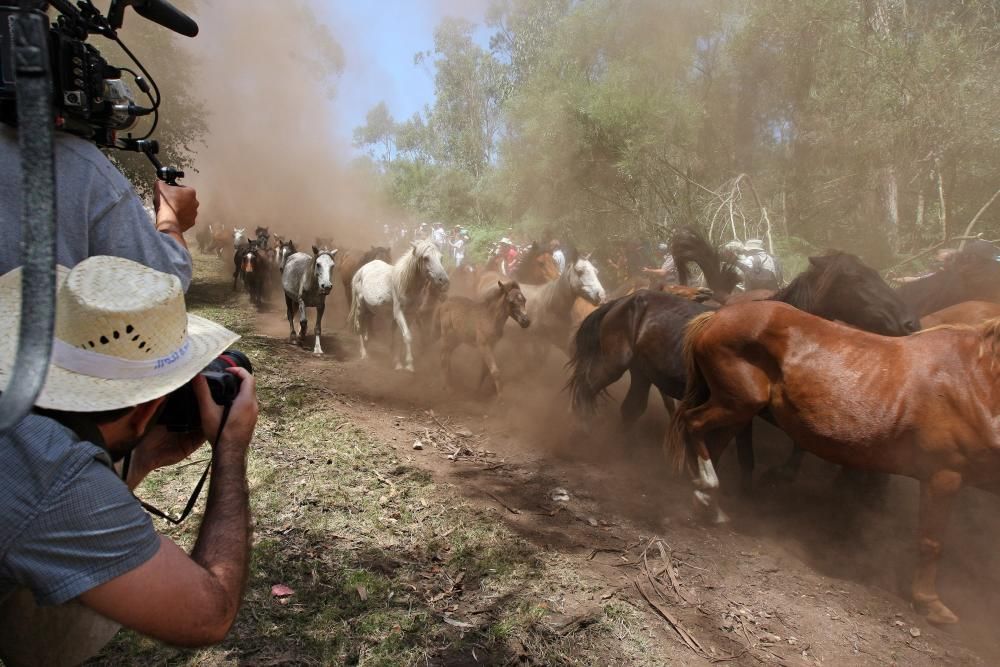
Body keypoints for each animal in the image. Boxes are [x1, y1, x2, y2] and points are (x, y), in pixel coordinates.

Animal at [348, 240, 450, 374]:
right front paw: (409, 365)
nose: (444, 281)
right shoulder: (398, 313)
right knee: (359, 326)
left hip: (371, 310)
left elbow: (400, 338)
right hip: (360, 307)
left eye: (441, 258)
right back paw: (364, 354)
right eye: (426, 258)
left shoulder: (411, 315)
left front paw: (397, 363)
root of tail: (362, 269)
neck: (406, 284)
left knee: (366, 325)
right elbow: (407, 336)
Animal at [664, 302, 1000, 628]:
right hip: (737, 403)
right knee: (693, 425)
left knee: (711, 443)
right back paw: (706, 492)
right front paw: (930, 604)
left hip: (738, 410)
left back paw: (707, 505)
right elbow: (932, 543)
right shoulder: (944, 476)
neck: (974, 381)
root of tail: (716, 316)